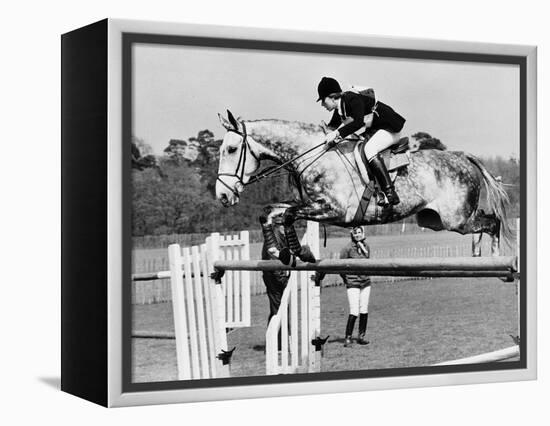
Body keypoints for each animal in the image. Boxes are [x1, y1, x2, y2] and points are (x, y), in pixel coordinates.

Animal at [216, 110, 512, 262]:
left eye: (231, 149)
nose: (222, 195)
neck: (313, 154)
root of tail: (461, 156)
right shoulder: (309, 204)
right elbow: (269, 212)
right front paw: (278, 250)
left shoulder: (334, 211)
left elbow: (288, 215)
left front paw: (300, 252)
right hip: (434, 220)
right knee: (485, 224)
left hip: (456, 219)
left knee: (492, 223)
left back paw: (496, 259)